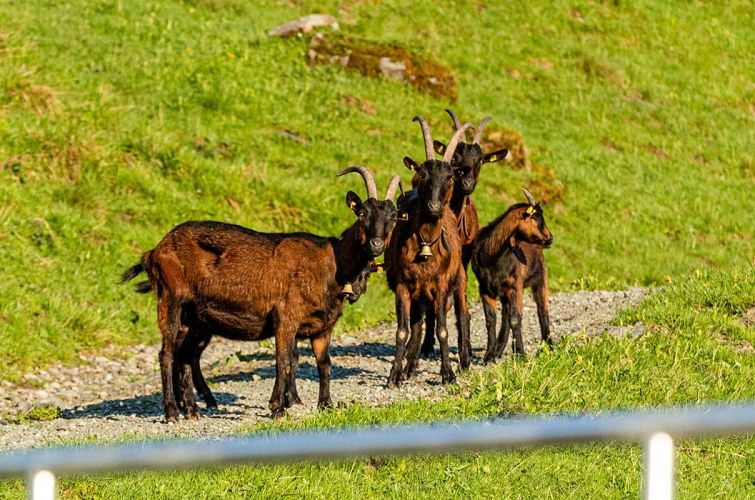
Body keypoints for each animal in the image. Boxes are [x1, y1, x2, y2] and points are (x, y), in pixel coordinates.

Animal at [121, 167, 401, 421]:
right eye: (362, 212)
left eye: (393, 217)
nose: (376, 244)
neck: (332, 265)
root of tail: (154, 252)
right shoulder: (286, 319)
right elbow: (284, 361)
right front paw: (278, 408)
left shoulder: (323, 326)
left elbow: (324, 365)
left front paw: (326, 405)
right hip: (170, 300)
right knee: (166, 354)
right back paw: (172, 412)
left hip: (195, 319)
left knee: (185, 357)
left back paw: (192, 410)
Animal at [385, 116, 471, 386]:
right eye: (422, 174)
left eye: (450, 178)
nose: (433, 206)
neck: (426, 245)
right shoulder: (403, 285)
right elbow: (403, 330)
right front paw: (394, 375)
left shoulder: (442, 284)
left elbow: (443, 328)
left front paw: (448, 374)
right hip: (419, 296)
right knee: (418, 325)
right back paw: (409, 367)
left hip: (458, 280)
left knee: (462, 315)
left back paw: (465, 361)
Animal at [419, 109, 508, 358]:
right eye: (456, 160)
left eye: (480, 160)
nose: (467, 183)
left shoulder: (464, 256)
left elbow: (462, 293)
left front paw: (465, 348)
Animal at [470, 189, 553, 363]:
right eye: (537, 218)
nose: (550, 238)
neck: (492, 256)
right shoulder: (485, 288)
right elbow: (491, 321)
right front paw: (489, 356)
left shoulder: (516, 286)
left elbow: (516, 318)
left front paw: (521, 354)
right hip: (503, 292)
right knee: (505, 315)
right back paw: (498, 350)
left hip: (540, 279)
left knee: (542, 311)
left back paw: (549, 347)